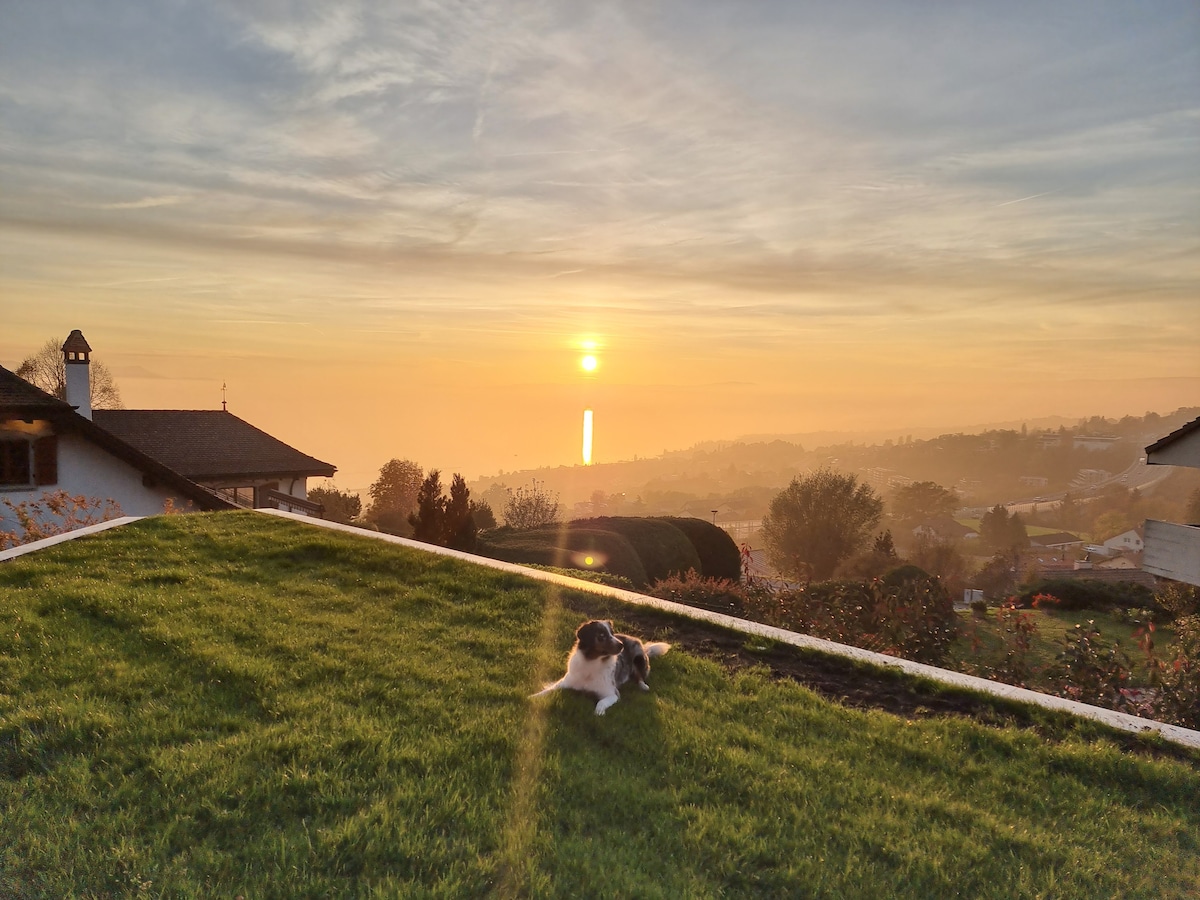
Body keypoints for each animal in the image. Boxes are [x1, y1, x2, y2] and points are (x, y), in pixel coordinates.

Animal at [535, 619, 676, 720]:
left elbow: (601, 702)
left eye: (612, 634)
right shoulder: (566, 682)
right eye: (602, 635)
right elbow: (548, 689)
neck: (592, 662)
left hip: (640, 659)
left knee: (639, 675)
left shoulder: (612, 693)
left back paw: (643, 686)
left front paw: (599, 713)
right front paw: (533, 697)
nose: (621, 645)